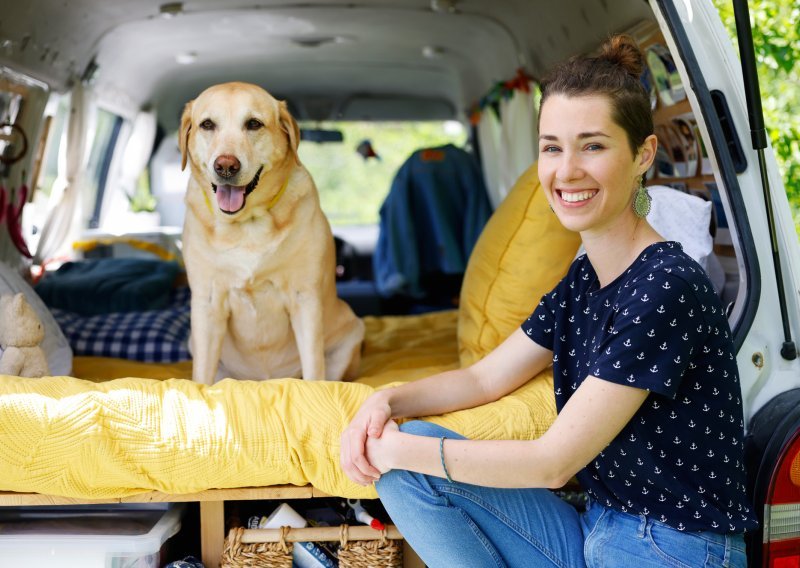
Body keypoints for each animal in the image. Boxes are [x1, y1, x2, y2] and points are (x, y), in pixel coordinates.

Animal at [180, 82, 364, 384]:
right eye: (207, 124)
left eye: (253, 124)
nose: (226, 166)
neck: (247, 224)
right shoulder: (207, 303)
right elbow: (201, 376)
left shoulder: (305, 299)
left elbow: (314, 368)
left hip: (350, 334)